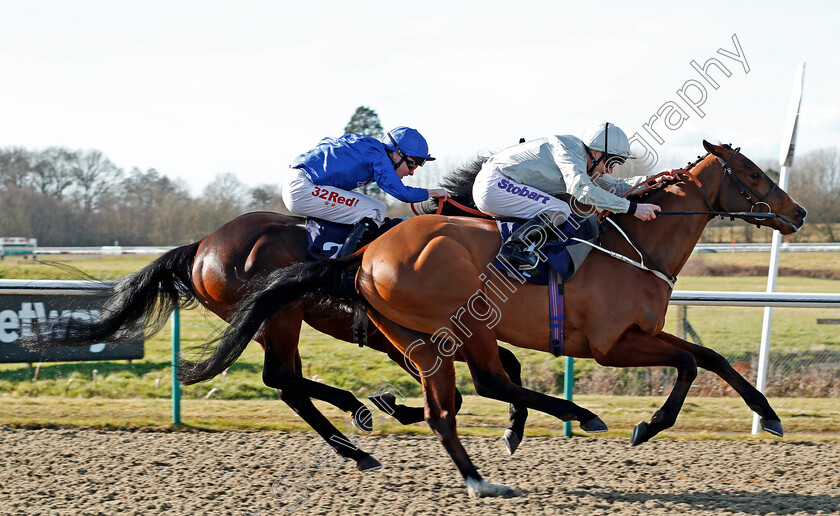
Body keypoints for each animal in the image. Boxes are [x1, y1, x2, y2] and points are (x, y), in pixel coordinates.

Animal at [24, 161, 532, 472]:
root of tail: (202, 246)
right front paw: (397, 405)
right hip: (280, 316)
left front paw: (511, 427)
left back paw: (355, 434)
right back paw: (357, 423)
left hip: (269, 321)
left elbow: (503, 367)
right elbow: (469, 388)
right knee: (282, 378)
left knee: (286, 383)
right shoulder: (410, 340)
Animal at [207, 141, 804, 496]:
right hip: (458, 326)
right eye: (753, 173)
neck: (636, 246)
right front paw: (648, 426)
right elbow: (688, 365)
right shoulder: (614, 345)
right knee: (481, 385)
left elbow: (711, 358)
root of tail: (365, 254)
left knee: (449, 404)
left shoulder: (644, 334)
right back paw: (567, 421)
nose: (797, 213)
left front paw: (769, 415)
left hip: (415, 335)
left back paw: (467, 467)